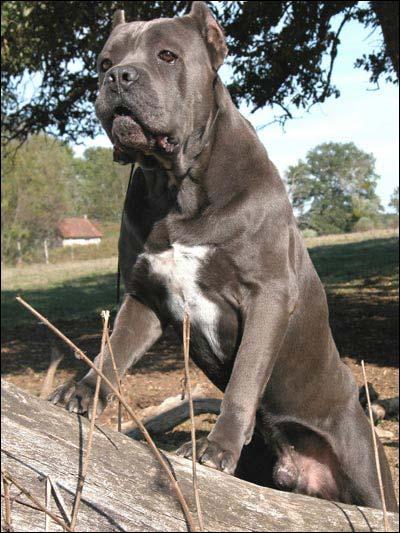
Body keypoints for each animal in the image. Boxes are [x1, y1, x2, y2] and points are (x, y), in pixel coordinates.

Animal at [50, 1, 396, 512]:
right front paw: (82, 392)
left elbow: (245, 376)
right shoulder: (145, 296)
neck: (178, 189)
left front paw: (218, 446)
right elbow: (112, 351)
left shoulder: (268, 296)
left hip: (371, 481)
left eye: (167, 56)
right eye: (103, 62)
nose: (118, 78)